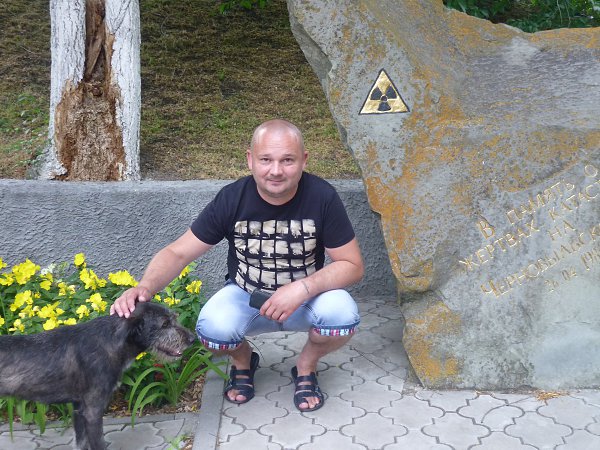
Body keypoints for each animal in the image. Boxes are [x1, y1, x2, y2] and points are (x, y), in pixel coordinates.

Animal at [0, 301, 196, 450]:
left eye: (174, 318)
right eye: (165, 324)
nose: (192, 338)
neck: (109, 341)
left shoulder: (78, 409)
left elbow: (81, 443)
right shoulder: (92, 411)